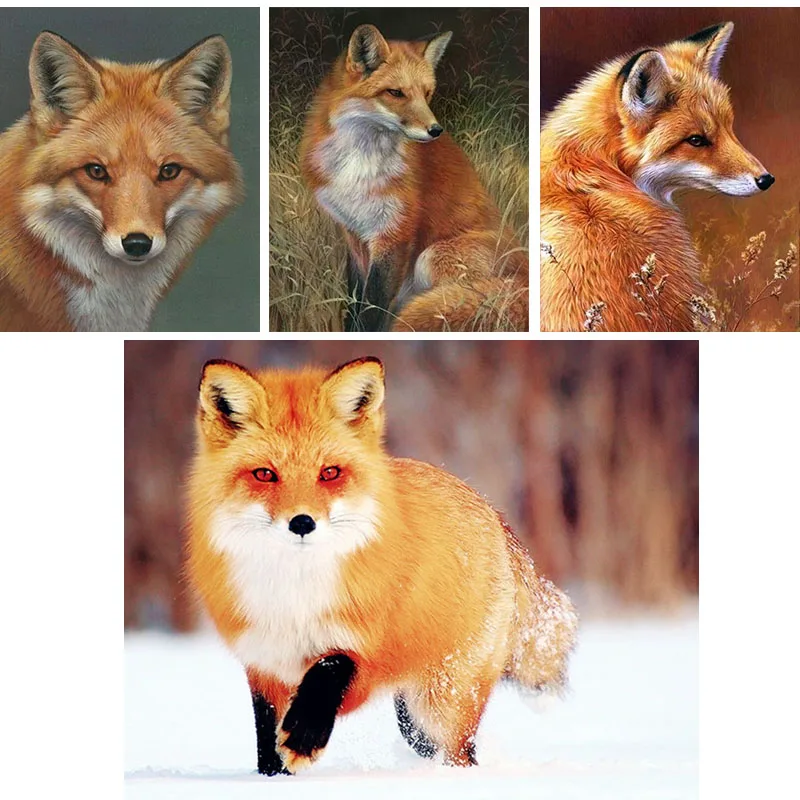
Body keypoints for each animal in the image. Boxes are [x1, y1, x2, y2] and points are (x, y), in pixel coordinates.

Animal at [186, 356, 577, 775]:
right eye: (264, 474)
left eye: (329, 473)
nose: (302, 523)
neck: (296, 597)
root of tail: (491, 511)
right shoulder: (264, 662)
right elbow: (267, 743)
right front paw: (273, 777)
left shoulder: (367, 648)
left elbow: (329, 668)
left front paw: (304, 738)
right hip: (414, 717)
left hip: (442, 702)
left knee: (462, 752)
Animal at [300, 24, 529, 332]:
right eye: (396, 93)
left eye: (427, 93)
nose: (436, 130)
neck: (360, 165)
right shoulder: (354, 233)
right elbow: (356, 300)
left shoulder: (395, 233)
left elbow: (373, 308)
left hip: (432, 256)